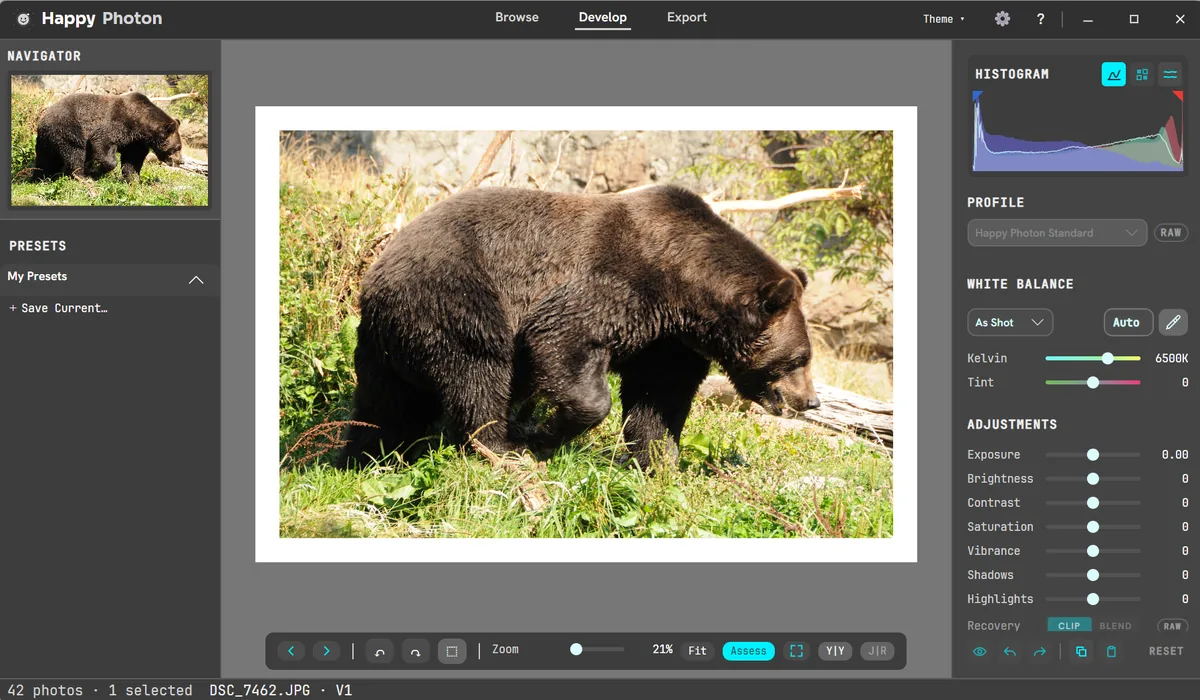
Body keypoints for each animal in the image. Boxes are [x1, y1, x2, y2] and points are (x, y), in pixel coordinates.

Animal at [33, 92, 183, 182]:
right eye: (177, 148)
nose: (180, 161)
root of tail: (43, 120)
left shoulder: (135, 143)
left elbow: (132, 161)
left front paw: (134, 180)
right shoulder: (117, 124)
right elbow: (103, 143)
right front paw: (99, 170)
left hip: (48, 140)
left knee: (45, 161)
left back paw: (40, 178)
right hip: (69, 129)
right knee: (75, 154)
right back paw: (82, 176)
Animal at [339, 184, 820, 469]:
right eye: (801, 358)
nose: (810, 401)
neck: (683, 288)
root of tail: (376, 276)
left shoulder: (667, 343)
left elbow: (659, 399)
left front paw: (659, 462)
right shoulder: (615, 284)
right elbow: (562, 338)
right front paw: (546, 434)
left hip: (386, 342)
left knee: (386, 404)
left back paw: (365, 456)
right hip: (455, 299)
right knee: (478, 372)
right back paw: (500, 446)